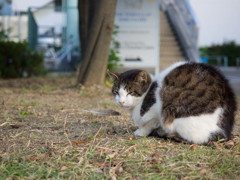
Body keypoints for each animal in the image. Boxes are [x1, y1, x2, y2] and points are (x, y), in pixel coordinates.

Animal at [108, 62, 237, 145]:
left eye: (130, 92)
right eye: (116, 92)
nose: (121, 101)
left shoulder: (156, 110)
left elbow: (150, 123)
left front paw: (142, 131)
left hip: (170, 96)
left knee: (195, 139)